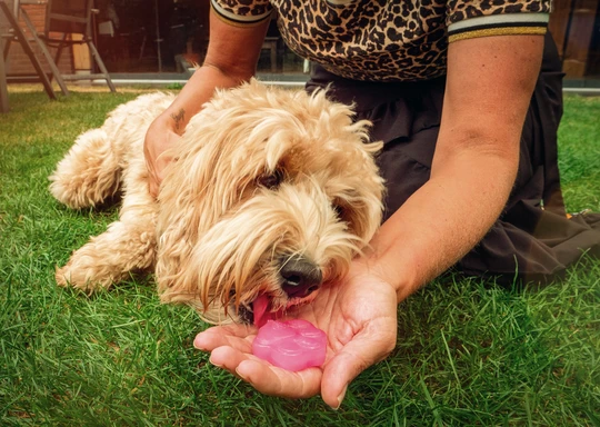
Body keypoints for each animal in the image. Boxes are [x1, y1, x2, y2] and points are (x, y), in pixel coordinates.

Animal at [49, 78, 382, 326]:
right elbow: (141, 234)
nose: (306, 277)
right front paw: (86, 266)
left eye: (339, 207)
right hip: (87, 170)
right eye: (271, 177)